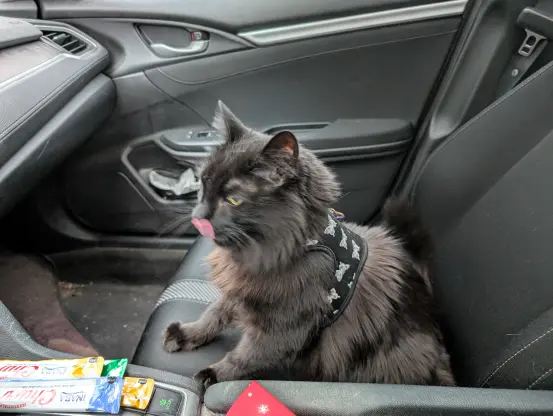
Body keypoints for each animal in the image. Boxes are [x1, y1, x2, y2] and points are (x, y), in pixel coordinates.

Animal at [163, 101, 454, 387]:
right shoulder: (241, 290)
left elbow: (243, 357)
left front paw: (210, 376)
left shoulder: (281, 328)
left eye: (233, 200)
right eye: (203, 183)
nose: (198, 216)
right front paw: (186, 334)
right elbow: (213, 314)